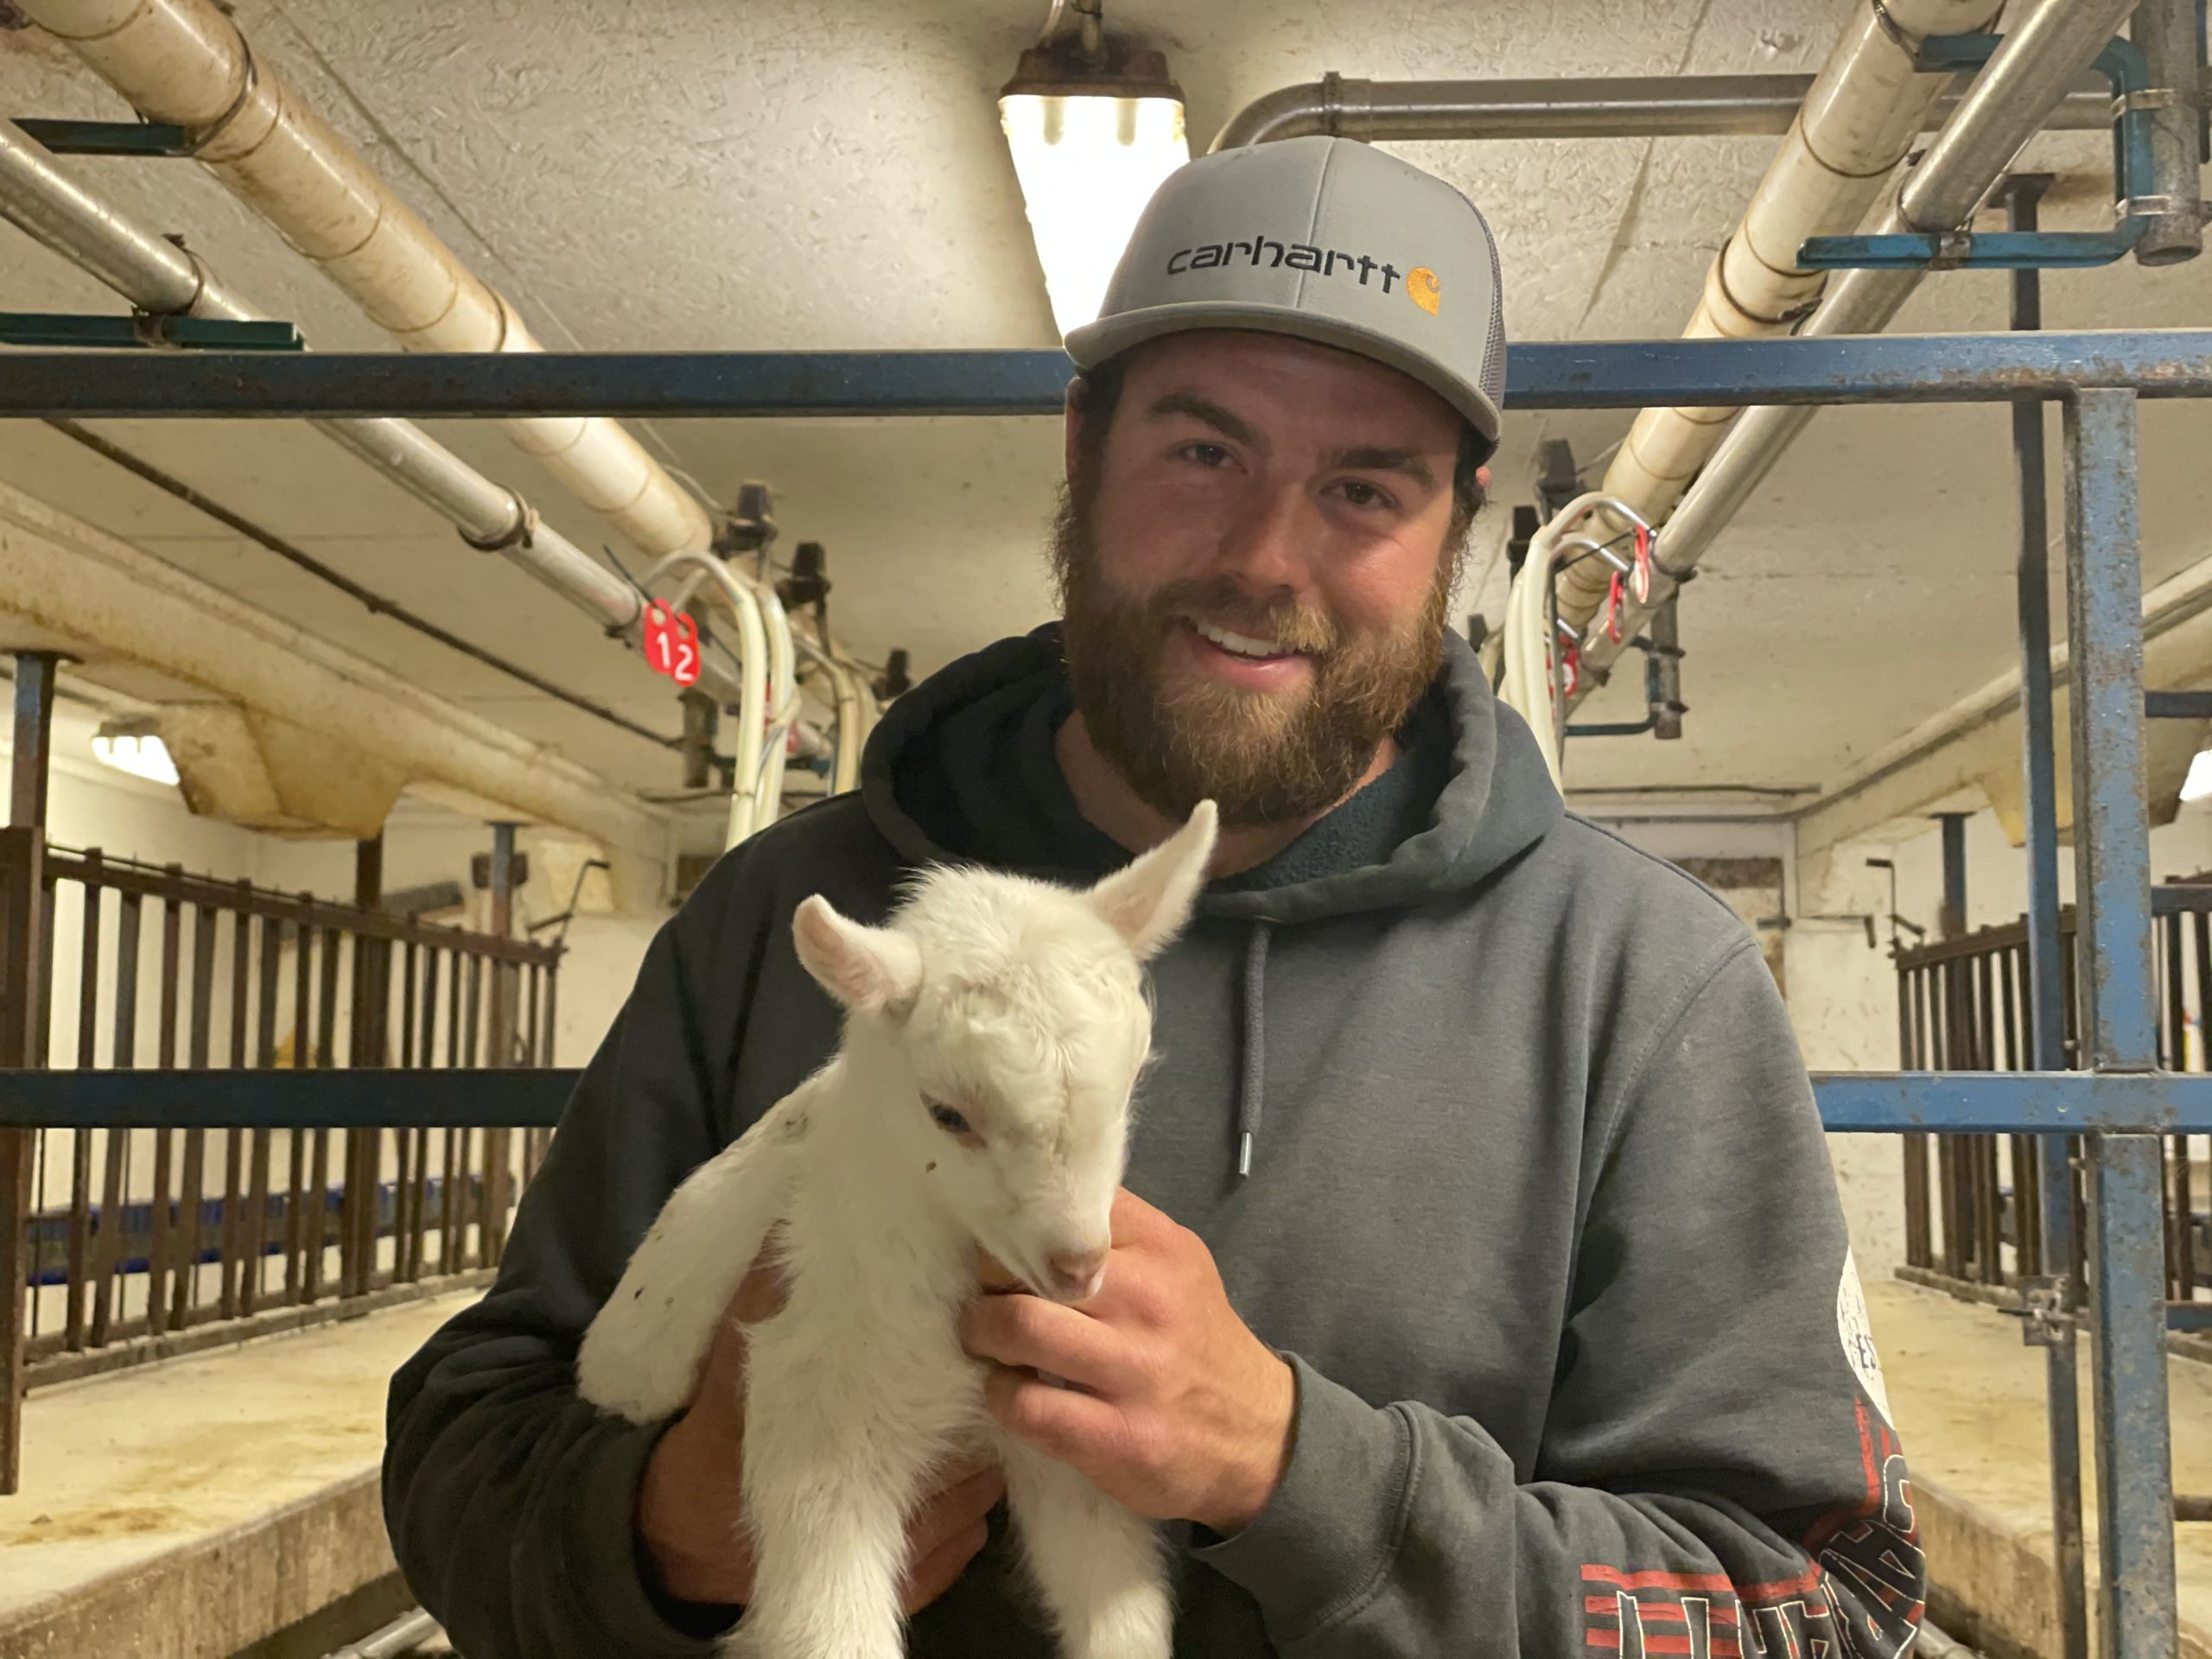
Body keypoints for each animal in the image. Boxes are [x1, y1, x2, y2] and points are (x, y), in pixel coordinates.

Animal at [577, 802, 1218, 1659]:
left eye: (1132, 1084)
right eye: (946, 1114)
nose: (1079, 1266)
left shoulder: (1059, 1431)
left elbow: (1115, 1604)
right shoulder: (819, 1412)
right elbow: (827, 1625)